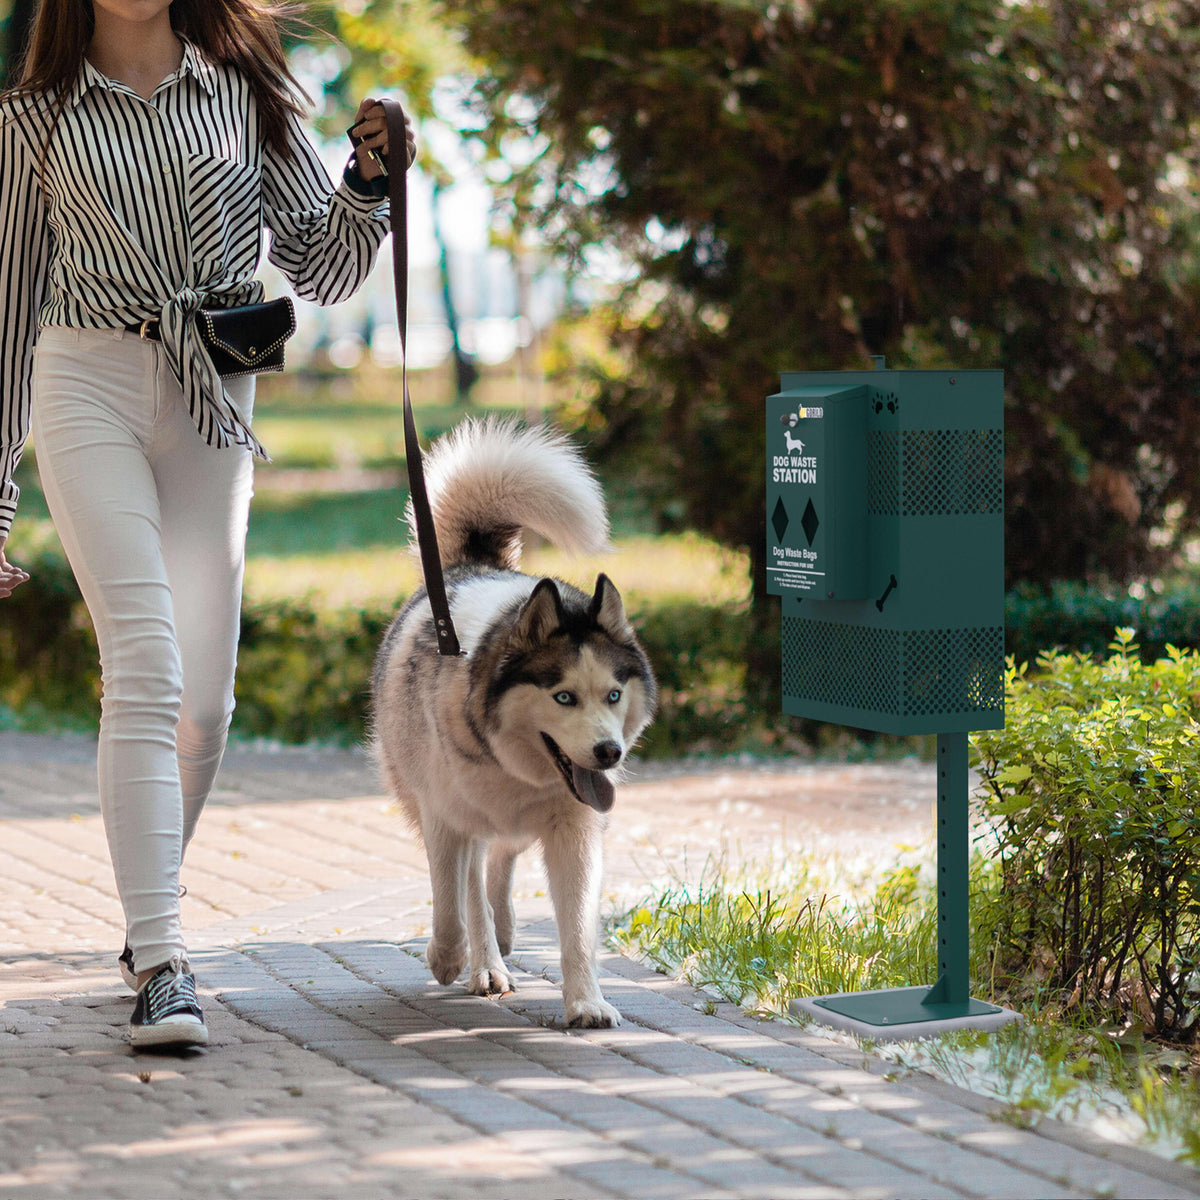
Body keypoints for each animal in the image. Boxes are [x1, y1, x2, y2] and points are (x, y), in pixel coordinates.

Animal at [372, 417, 657, 1027]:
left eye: (613, 694)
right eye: (563, 696)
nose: (609, 753)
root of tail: (472, 565)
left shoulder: (575, 829)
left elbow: (576, 925)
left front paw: (586, 1001)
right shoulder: (444, 816)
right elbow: (451, 901)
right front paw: (448, 955)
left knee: (498, 865)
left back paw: (500, 938)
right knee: (473, 883)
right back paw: (483, 962)